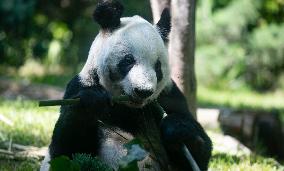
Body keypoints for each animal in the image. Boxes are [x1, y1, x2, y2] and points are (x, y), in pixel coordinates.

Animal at [41, 0, 212, 170]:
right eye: (128, 61)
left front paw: (176, 128)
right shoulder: (79, 86)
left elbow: (199, 153)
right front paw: (93, 100)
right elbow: (65, 152)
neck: (130, 108)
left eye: (157, 66)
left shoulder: (169, 95)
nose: (143, 91)